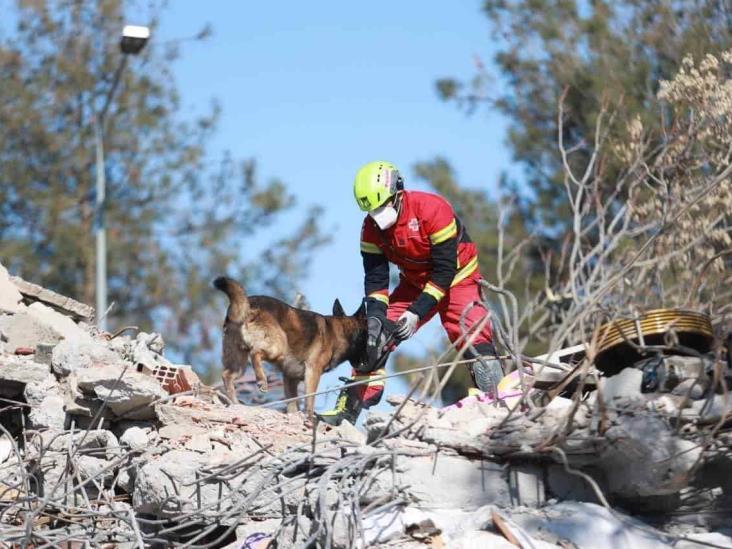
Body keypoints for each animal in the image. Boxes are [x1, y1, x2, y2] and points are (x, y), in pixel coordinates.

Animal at [214, 276, 368, 418]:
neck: (340, 331)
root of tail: (248, 303)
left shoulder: (290, 378)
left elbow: (292, 404)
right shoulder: (313, 371)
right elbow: (309, 399)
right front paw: (310, 418)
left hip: (239, 362)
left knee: (227, 375)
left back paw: (235, 403)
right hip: (278, 347)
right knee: (255, 353)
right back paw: (262, 381)